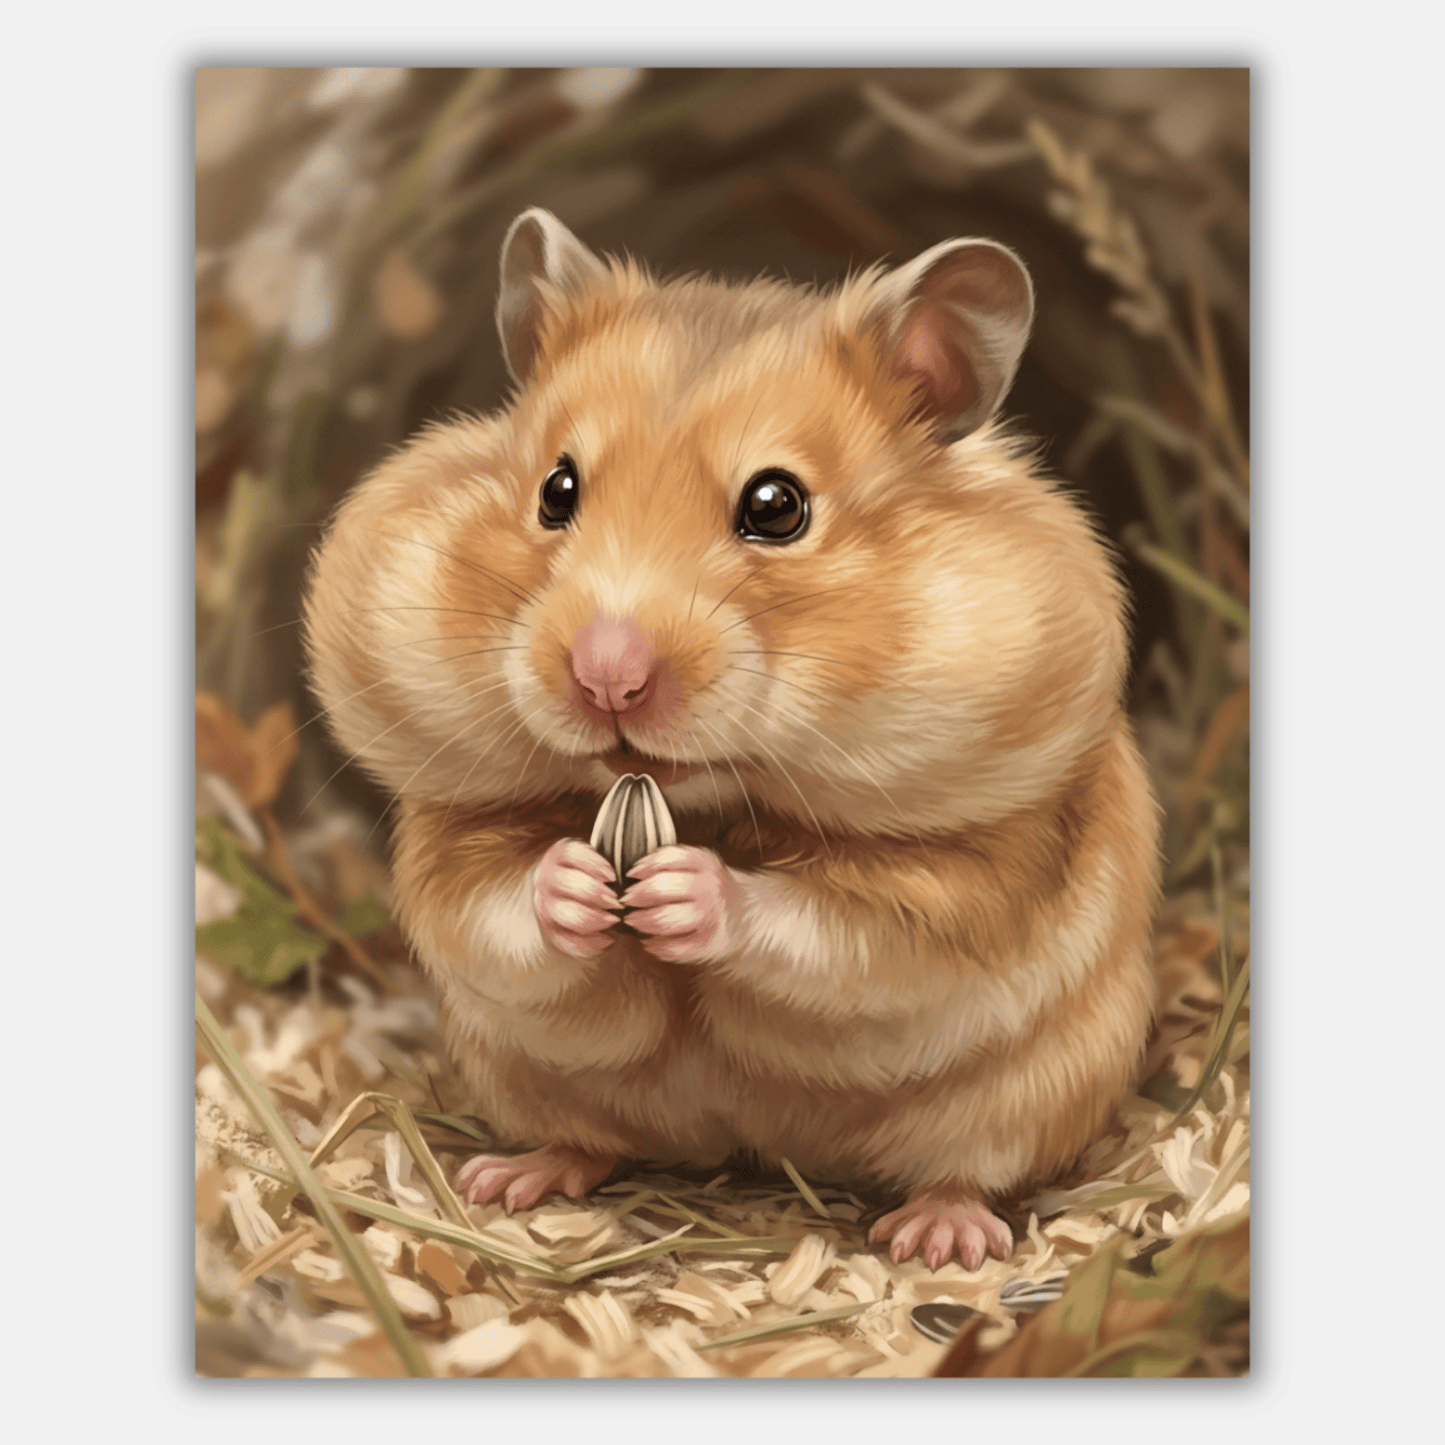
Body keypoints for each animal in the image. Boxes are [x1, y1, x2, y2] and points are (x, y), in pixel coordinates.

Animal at [303, 208, 1160, 1271]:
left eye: (776, 505)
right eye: (555, 489)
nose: (607, 674)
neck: (703, 802)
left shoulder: (973, 875)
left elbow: (843, 932)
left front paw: (686, 891)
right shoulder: (453, 838)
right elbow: (486, 907)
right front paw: (576, 885)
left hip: (1034, 1089)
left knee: (969, 1166)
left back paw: (940, 1239)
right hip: (524, 1075)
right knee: (585, 1137)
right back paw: (507, 1178)